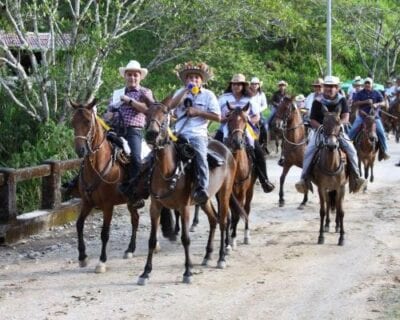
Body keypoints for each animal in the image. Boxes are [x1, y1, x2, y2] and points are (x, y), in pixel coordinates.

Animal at [69, 99, 149, 272]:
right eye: (73, 122)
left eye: (88, 121)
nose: (80, 150)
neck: (98, 165)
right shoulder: (87, 202)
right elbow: (79, 225)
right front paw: (82, 257)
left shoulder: (108, 205)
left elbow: (104, 233)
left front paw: (101, 262)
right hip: (131, 201)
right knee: (135, 219)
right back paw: (130, 250)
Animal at [136, 98, 245, 284]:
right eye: (146, 114)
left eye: (165, 114)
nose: (151, 134)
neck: (168, 170)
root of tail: (227, 150)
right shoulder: (155, 207)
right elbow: (152, 240)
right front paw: (145, 272)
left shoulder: (184, 207)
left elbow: (185, 239)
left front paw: (187, 272)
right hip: (205, 199)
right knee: (213, 220)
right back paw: (207, 255)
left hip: (224, 193)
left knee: (223, 221)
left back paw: (221, 257)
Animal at [310, 107, 346, 245]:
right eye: (324, 124)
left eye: (339, 123)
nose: (331, 145)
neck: (331, 164)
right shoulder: (321, 187)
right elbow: (322, 211)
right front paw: (321, 236)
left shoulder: (341, 187)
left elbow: (341, 211)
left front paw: (342, 237)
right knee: (328, 203)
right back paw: (327, 225)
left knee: (336, 204)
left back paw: (337, 226)